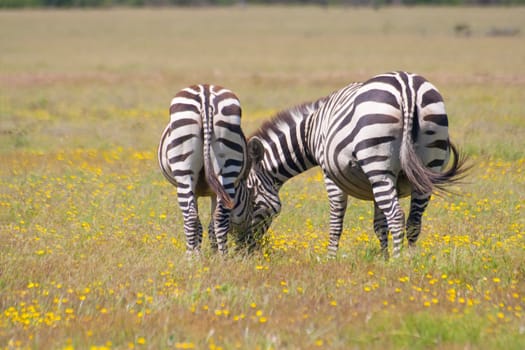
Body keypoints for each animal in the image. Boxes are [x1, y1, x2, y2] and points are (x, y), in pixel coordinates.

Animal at [159, 85, 256, 254]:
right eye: (251, 200)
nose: (247, 242)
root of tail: (206, 95)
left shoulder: (203, 192)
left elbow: (200, 224)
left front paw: (201, 251)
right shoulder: (213, 192)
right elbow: (209, 225)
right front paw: (212, 252)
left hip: (184, 172)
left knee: (190, 217)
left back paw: (191, 257)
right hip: (226, 167)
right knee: (219, 217)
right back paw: (223, 256)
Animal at [248, 70, 468, 258]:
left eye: (251, 200)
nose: (247, 248)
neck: (311, 132)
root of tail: (407, 87)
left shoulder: (330, 175)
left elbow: (336, 221)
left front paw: (330, 258)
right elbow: (379, 225)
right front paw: (383, 258)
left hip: (378, 165)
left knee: (397, 216)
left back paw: (398, 261)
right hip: (426, 163)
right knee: (414, 220)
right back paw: (410, 259)